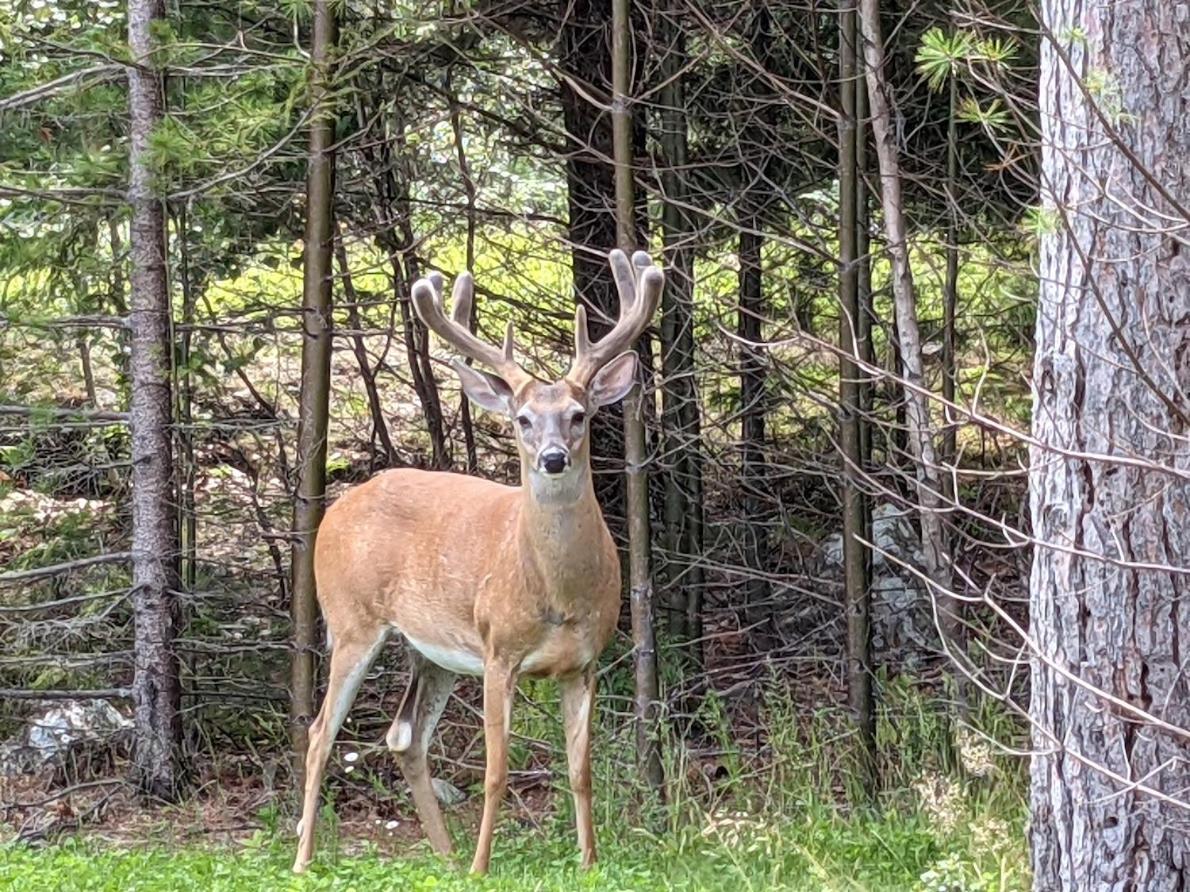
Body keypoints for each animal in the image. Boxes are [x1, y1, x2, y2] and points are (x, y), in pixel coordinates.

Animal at [287, 248, 661, 875]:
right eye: (522, 419)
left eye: (580, 414)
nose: (553, 458)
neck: (557, 596)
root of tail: (336, 507)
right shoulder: (498, 651)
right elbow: (495, 772)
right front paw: (483, 867)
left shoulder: (586, 662)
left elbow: (581, 771)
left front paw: (589, 862)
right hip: (353, 619)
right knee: (319, 734)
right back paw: (304, 859)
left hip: (430, 649)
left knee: (405, 736)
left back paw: (443, 854)